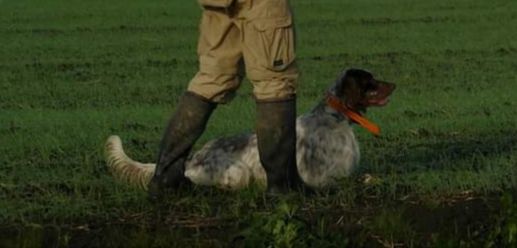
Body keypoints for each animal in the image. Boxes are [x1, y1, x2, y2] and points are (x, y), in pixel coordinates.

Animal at [105, 69, 396, 190]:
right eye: (371, 81)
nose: (393, 84)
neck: (336, 117)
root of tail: (194, 157)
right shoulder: (322, 178)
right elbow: (364, 178)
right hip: (238, 173)